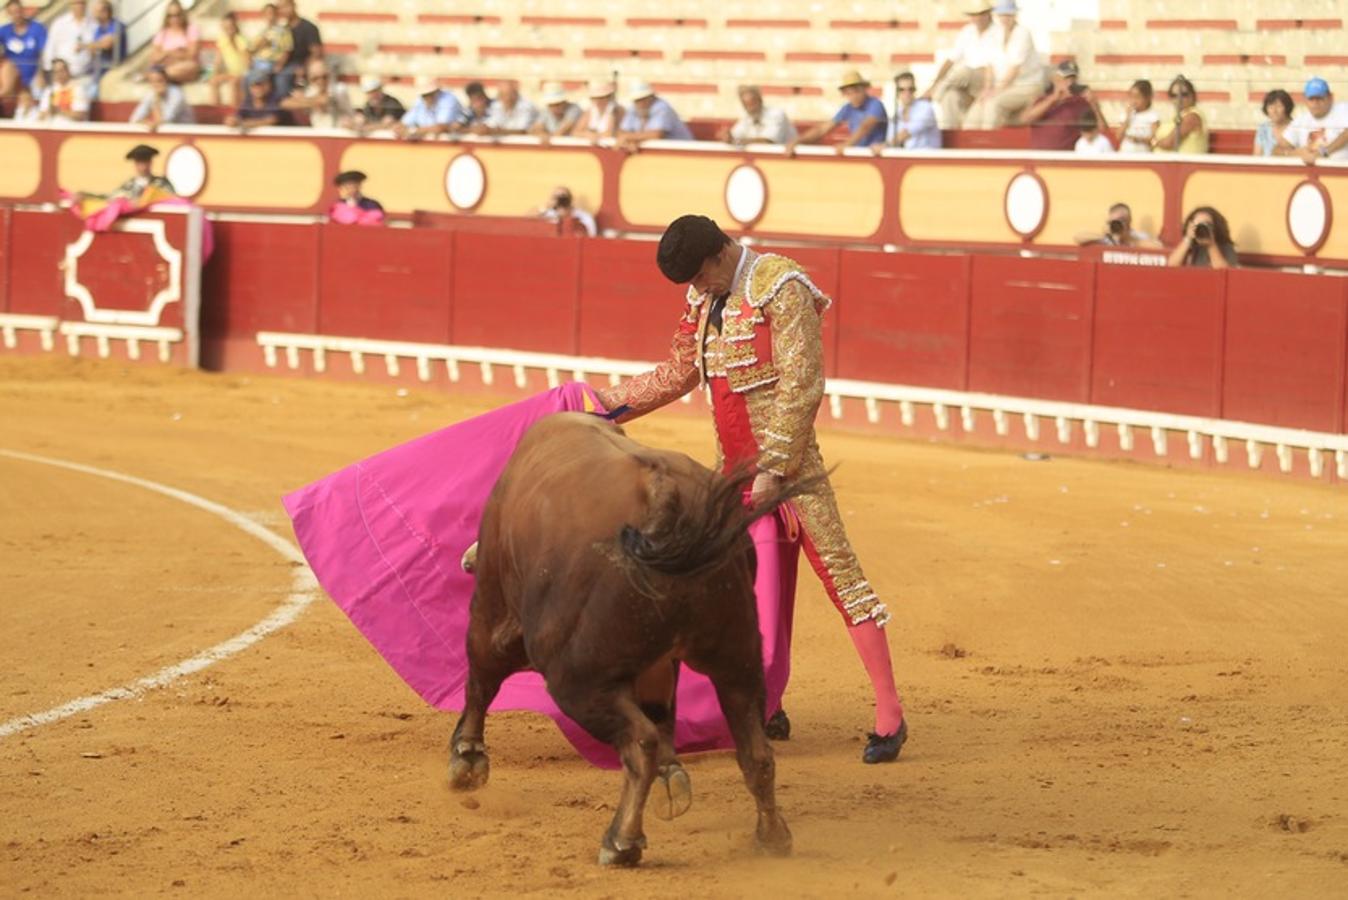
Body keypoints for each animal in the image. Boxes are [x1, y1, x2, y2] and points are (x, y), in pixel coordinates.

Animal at [447, 412, 792, 862]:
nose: (466, 560)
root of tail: (666, 497)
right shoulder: (661, 664)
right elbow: (664, 713)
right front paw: (672, 776)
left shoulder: (495, 611)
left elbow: (481, 676)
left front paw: (466, 760)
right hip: (738, 654)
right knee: (755, 749)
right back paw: (772, 836)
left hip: (576, 678)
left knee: (640, 742)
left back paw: (621, 841)